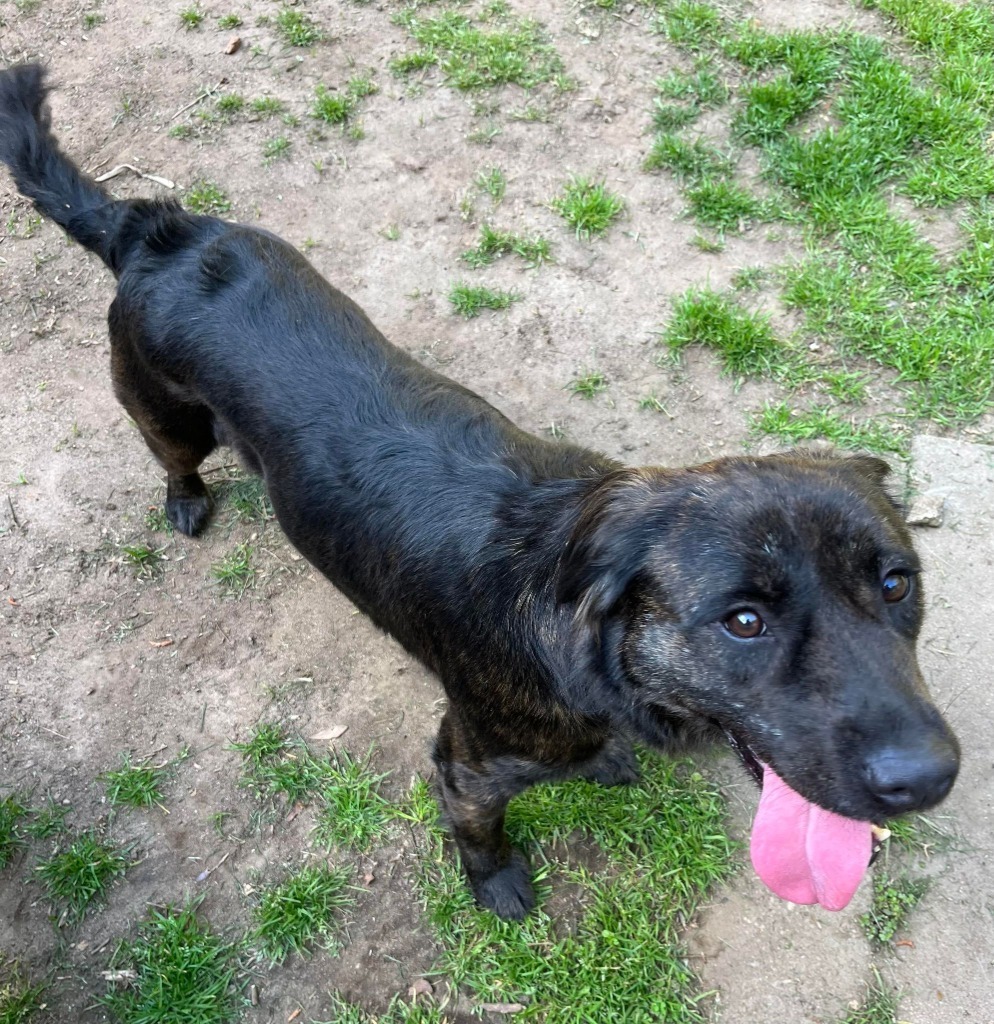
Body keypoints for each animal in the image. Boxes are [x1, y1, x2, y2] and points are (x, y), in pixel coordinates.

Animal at [1, 64, 962, 921]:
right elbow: (478, 832)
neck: (588, 645)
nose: (928, 778)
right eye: (745, 621)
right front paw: (495, 883)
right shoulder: (465, 765)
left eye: (897, 584)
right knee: (174, 455)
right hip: (166, 412)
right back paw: (186, 499)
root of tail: (150, 225)